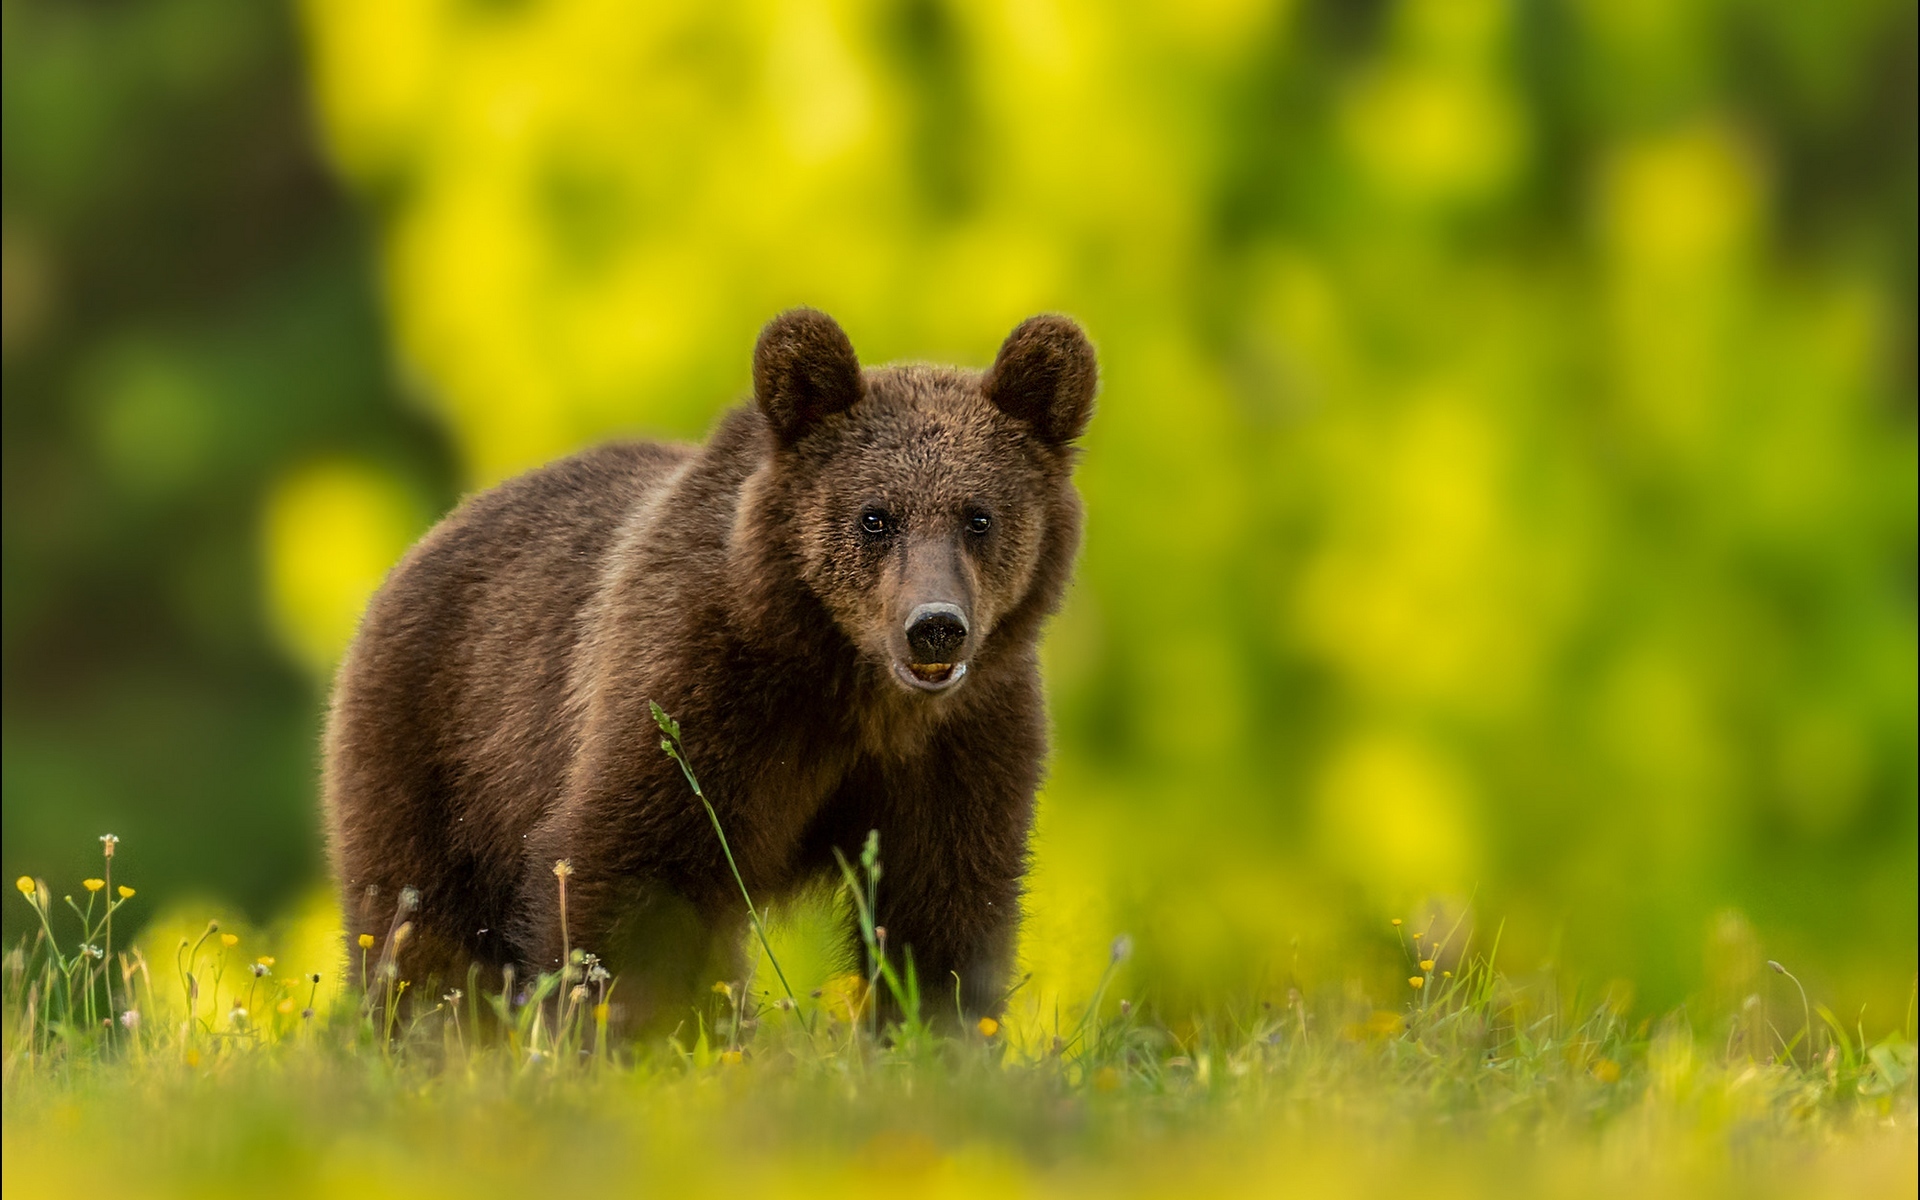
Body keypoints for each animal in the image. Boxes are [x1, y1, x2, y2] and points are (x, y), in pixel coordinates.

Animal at [322, 307, 1090, 1021]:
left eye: (979, 516)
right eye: (875, 516)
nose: (934, 628)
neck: (851, 685)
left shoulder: (962, 741)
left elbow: (943, 909)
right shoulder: (701, 686)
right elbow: (624, 870)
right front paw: (607, 1029)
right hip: (439, 753)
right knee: (418, 931)